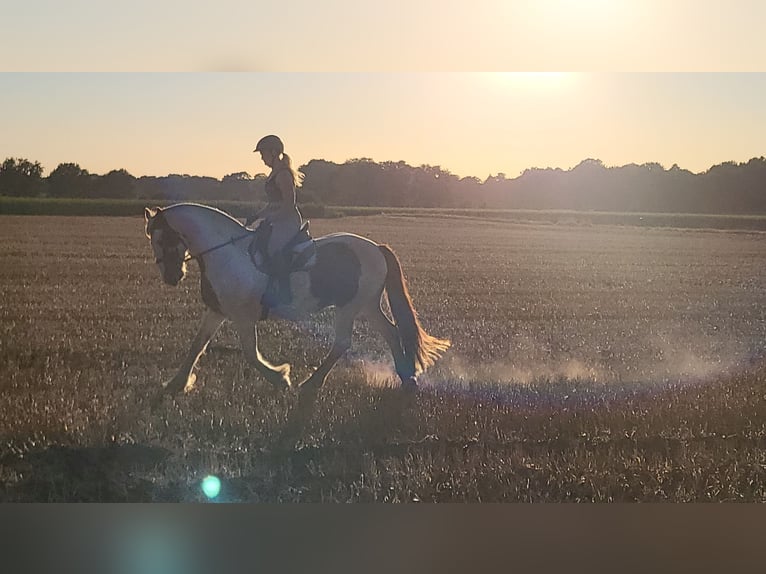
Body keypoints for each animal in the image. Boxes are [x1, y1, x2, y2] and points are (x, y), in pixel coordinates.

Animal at [144, 205, 450, 398]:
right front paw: (176, 384)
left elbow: (250, 353)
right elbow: (197, 346)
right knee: (391, 333)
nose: (172, 276)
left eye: (161, 238)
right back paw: (407, 379)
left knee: (342, 343)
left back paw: (311, 383)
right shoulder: (216, 311)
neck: (227, 253)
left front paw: (280, 377)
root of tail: (376, 247)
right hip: (368, 306)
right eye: (153, 239)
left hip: (350, 307)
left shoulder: (243, 317)